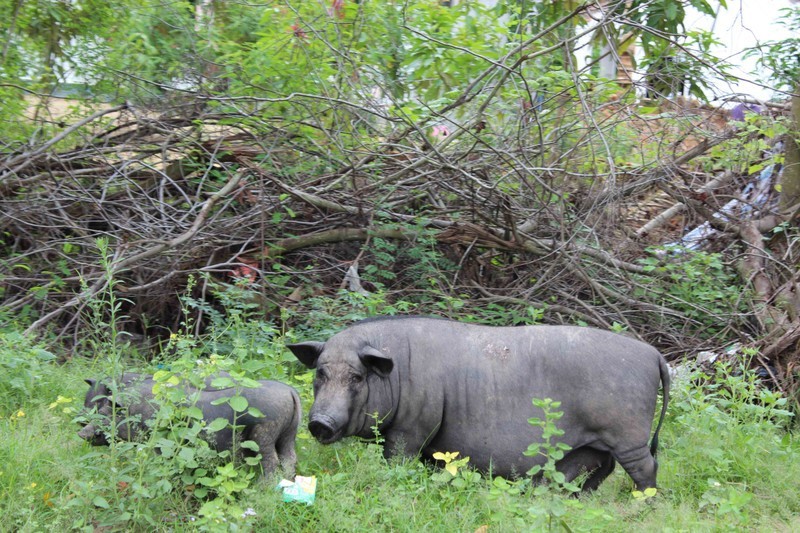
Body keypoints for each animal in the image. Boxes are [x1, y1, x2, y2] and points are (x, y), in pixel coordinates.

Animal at [79, 372, 300, 476]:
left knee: (271, 462)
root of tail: (290, 391)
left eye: (107, 413)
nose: (81, 432)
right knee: (289, 458)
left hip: (264, 435)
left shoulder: (161, 445)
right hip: (288, 434)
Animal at [288, 316, 668, 490]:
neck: (395, 374)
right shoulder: (433, 445)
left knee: (645, 468)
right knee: (597, 470)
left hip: (628, 435)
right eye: (320, 373)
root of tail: (654, 355)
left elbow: (397, 460)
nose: (320, 422)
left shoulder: (412, 428)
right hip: (595, 444)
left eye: (356, 377)